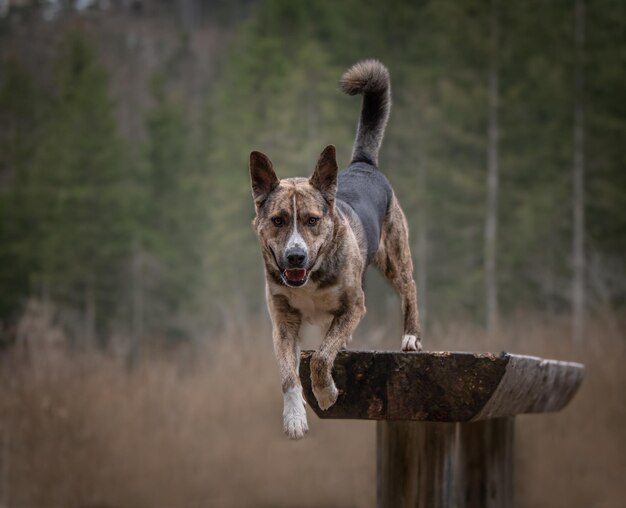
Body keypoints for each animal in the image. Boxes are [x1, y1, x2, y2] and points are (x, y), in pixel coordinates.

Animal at [247, 60, 420, 440]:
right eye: (278, 220)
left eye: (312, 220)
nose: (295, 256)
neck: (311, 275)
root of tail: (362, 163)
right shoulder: (283, 320)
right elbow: (288, 373)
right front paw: (295, 417)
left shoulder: (354, 306)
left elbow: (322, 357)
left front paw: (326, 393)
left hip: (394, 254)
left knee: (409, 287)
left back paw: (412, 336)